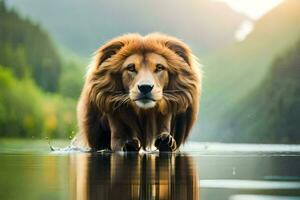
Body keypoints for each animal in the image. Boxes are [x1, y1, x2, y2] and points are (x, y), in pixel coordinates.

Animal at [74, 32, 202, 152]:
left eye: (159, 67)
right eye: (131, 68)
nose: (145, 87)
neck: (144, 112)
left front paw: (166, 141)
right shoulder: (115, 122)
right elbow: (120, 142)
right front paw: (129, 144)